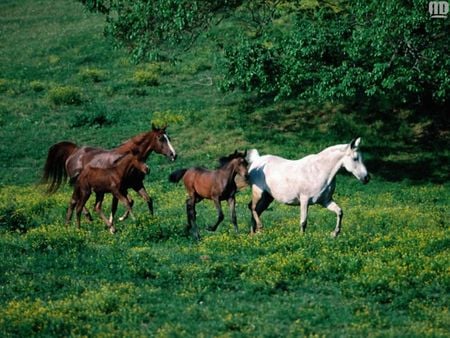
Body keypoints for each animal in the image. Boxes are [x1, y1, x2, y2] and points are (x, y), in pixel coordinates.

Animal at [42, 123, 176, 218]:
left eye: (168, 137)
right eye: (160, 138)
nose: (173, 154)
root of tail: (74, 151)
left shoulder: (136, 184)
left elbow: (146, 199)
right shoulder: (119, 188)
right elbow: (121, 204)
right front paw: (118, 221)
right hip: (79, 184)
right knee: (76, 201)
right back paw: (87, 216)